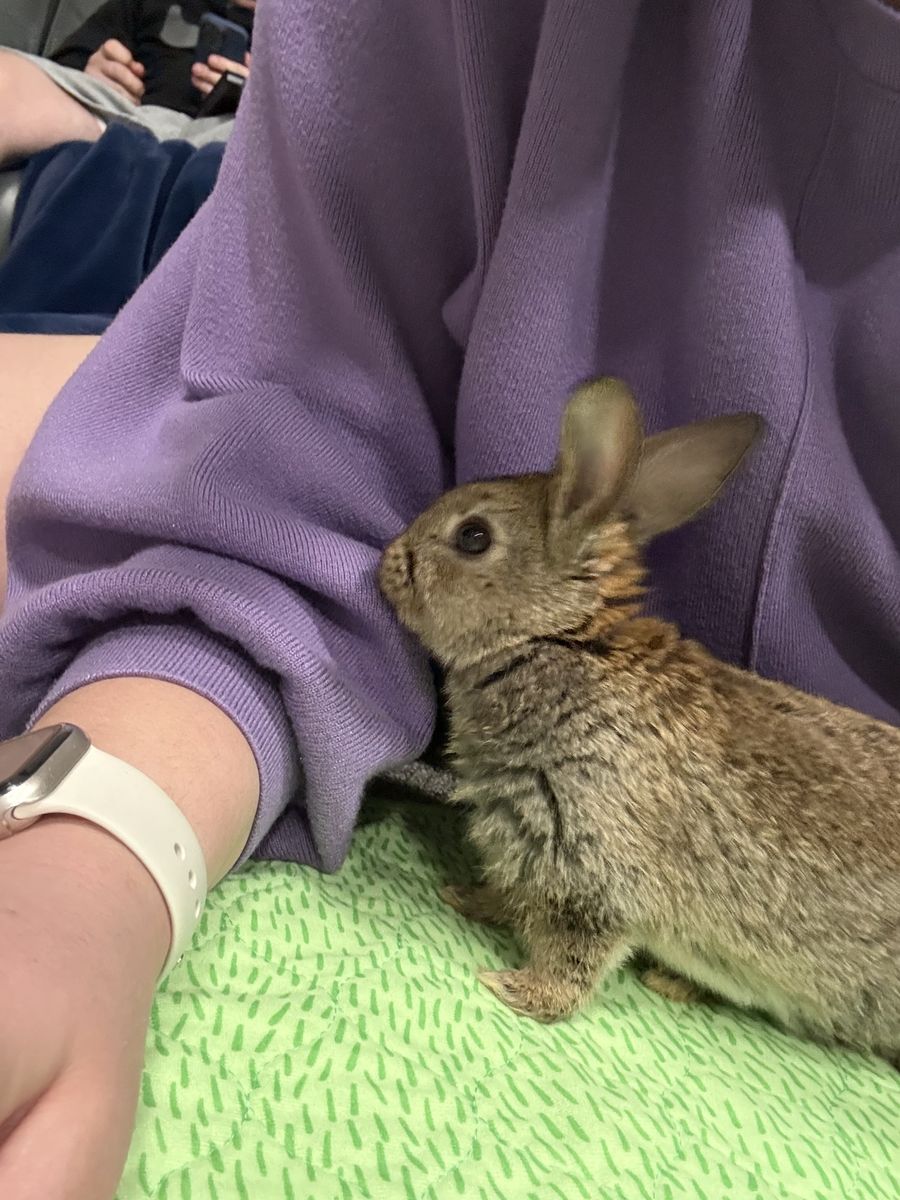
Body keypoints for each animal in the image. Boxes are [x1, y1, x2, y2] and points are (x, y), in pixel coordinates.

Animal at [378, 377, 900, 1062]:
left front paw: (516, 990)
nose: (387, 562)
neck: (560, 638)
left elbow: (575, 956)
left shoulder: (589, 861)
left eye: (473, 537)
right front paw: (468, 898)